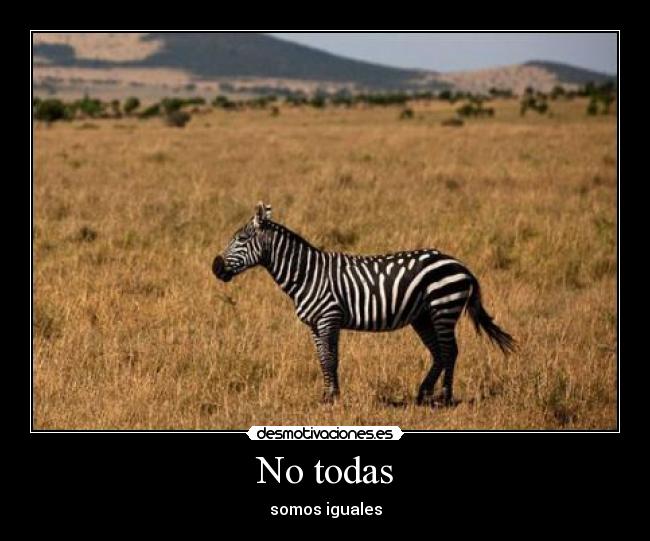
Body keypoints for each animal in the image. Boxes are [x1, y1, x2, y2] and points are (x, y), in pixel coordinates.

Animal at [212, 202, 515, 405]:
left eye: (241, 239)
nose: (215, 267)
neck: (307, 274)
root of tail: (461, 265)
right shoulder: (315, 324)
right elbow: (322, 358)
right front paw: (326, 396)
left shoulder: (329, 318)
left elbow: (330, 358)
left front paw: (332, 399)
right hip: (423, 316)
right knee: (440, 353)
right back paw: (422, 395)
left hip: (443, 308)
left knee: (450, 351)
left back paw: (445, 397)